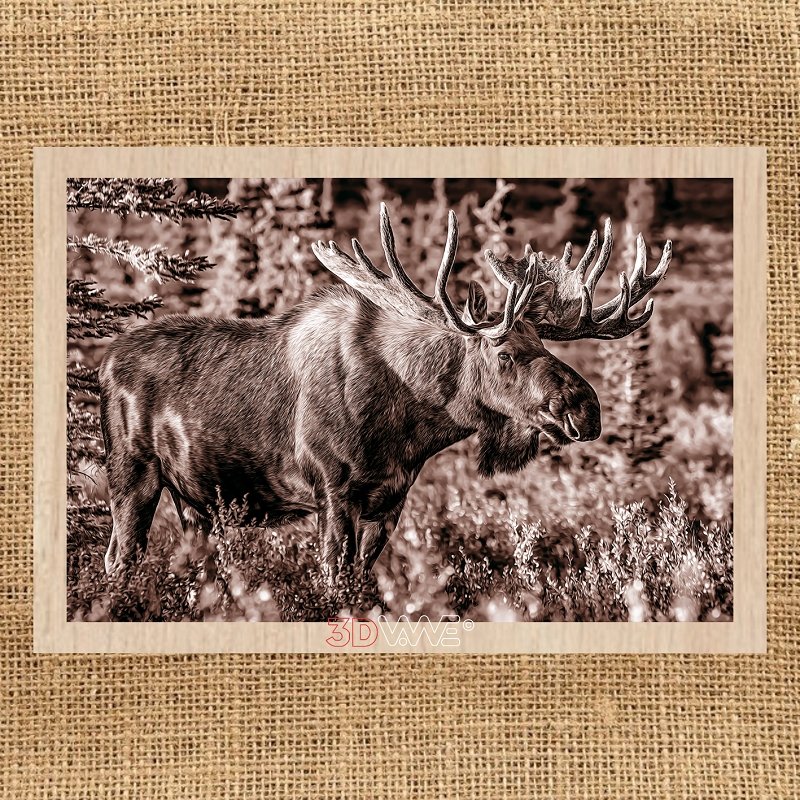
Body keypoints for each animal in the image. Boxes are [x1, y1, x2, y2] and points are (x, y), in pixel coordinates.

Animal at [100, 203, 671, 593]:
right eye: (506, 352)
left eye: (546, 345)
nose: (586, 409)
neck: (410, 427)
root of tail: (102, 365)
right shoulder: (334, 492)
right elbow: (334, 582)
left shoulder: (389, 503)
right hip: (133, 475)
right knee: (120, 558)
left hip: (193, 500)